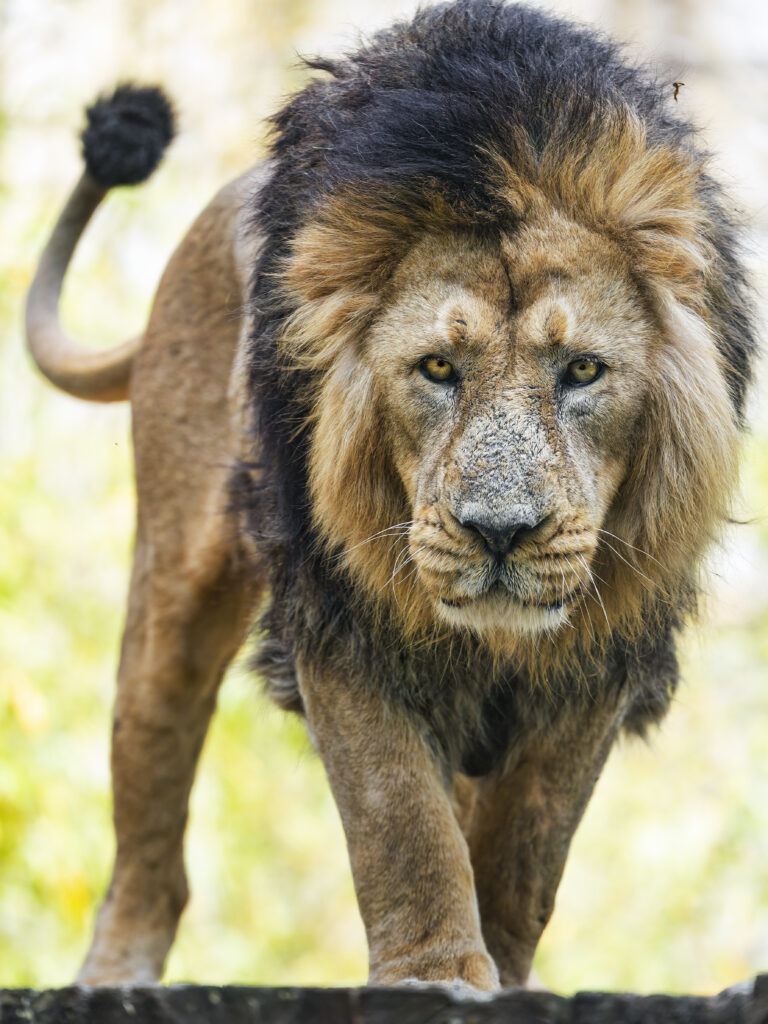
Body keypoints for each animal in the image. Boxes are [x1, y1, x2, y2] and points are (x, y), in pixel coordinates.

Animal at [25, 0, 756, 992]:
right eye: (437, 368)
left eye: (583, 371)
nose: (500, 533)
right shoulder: (339, 611)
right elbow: (400, 820)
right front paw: (434, 974)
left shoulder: (603, 647)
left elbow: (526, 851)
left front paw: (502, 977)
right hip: (170, 594)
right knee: (150, 832)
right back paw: (112, 977)